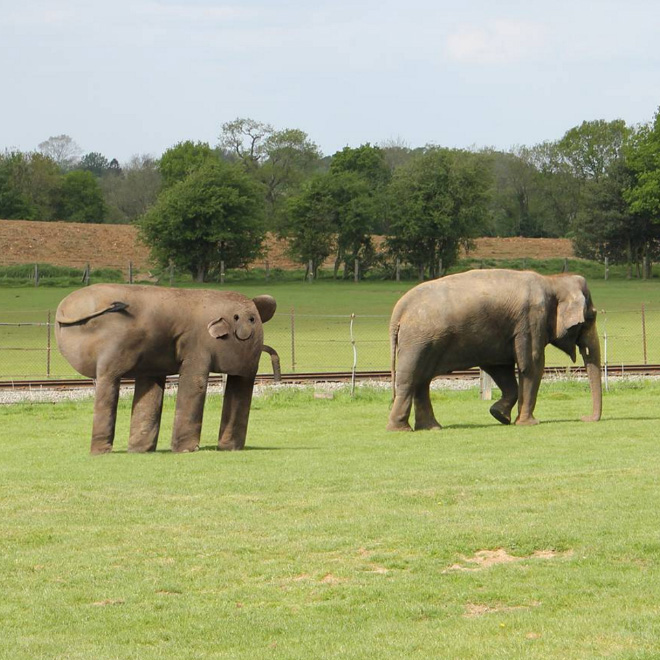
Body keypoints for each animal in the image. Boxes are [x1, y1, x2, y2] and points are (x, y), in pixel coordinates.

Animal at [53, 284, 276, 454]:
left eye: (253, 319)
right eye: (237, 318)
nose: (245, 330)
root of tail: (64, 309)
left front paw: (141, 450)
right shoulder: (198, 344)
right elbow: (195, 382)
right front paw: (185, 450)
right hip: (113, 348)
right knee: (109, 378)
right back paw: (100, 452)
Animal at [386, 270, 604, 434]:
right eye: (592, 316)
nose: (585, 418)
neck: (552, 280)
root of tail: (399, 309)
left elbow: (501, 369)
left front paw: (500, 415)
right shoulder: (531, 320)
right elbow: (532, 365)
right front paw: (528, 423)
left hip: (423, 343)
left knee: (421, 381)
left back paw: (431, 428)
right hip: (417, 342)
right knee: (410, 379)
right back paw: (400, 429)